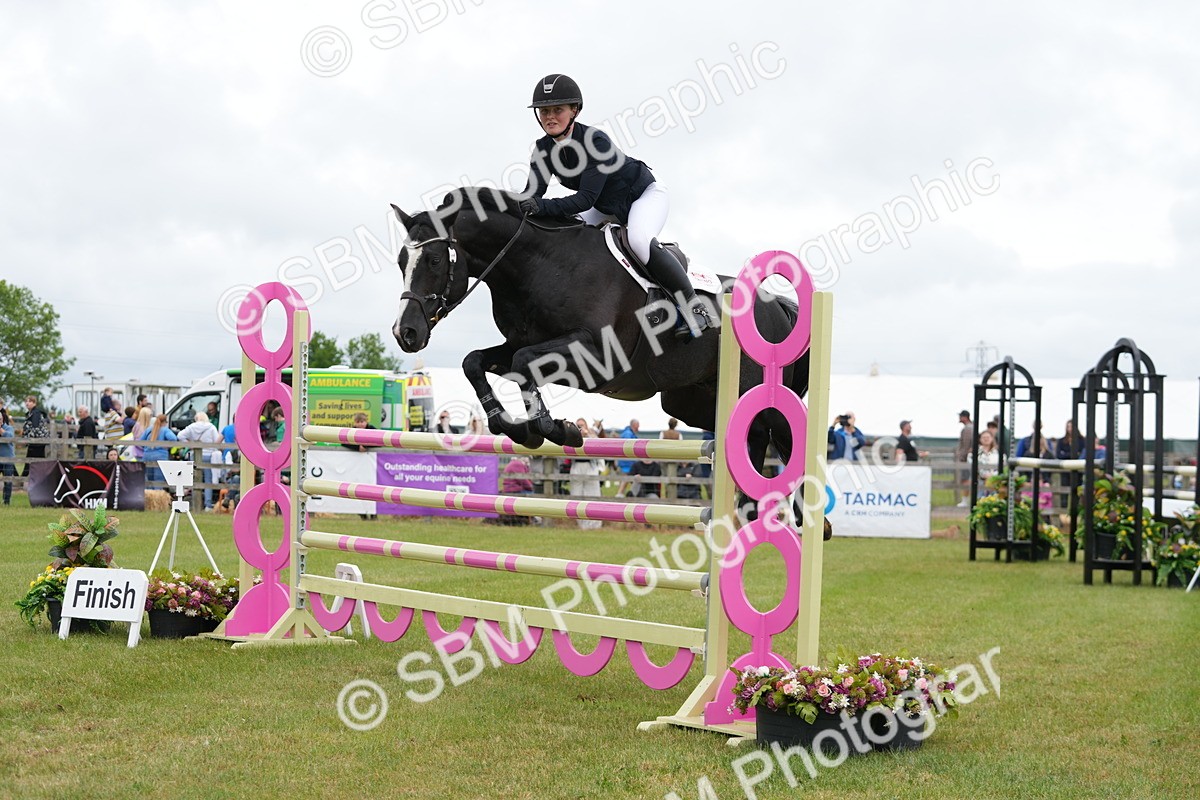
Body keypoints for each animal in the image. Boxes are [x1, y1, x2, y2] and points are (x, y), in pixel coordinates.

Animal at [389, 187, 810, 493]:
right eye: (400, 262)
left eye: (434, 261)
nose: (405, 333)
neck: (539, 264)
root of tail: (776, 305)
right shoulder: (522, 344)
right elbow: (476, 362)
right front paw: (516, 428)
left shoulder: (593, 353)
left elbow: (525, 362)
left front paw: (557, 429)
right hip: (690, 401)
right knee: (751, 437)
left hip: (756, 396)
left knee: (782, 436)